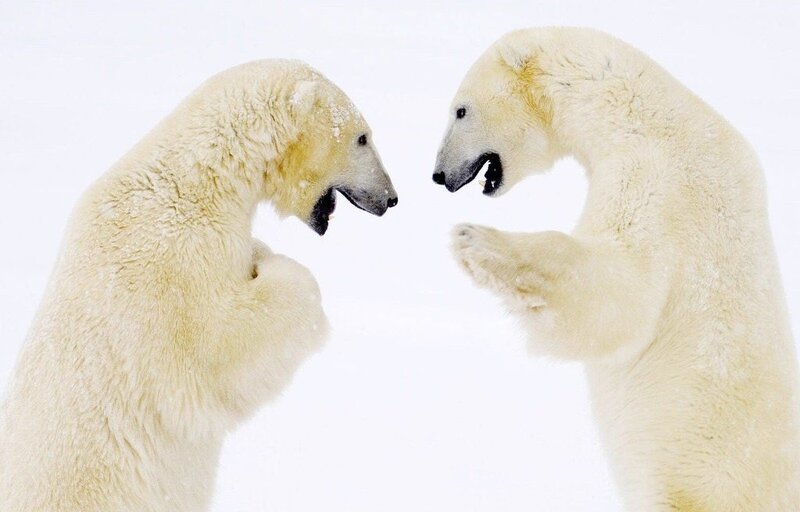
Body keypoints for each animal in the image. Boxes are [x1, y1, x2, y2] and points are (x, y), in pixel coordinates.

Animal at [0, 59, 397, 512]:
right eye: (362, 137)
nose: (391, 198)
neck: (197, 180)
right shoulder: (171, 264)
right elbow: (218, 351)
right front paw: (274, 266)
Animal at [433, 28, 800, 511]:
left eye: (460, 109)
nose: (438, 175)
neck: (640, 113)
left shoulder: (656, 180)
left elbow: (622, 296)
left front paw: (475, 240)